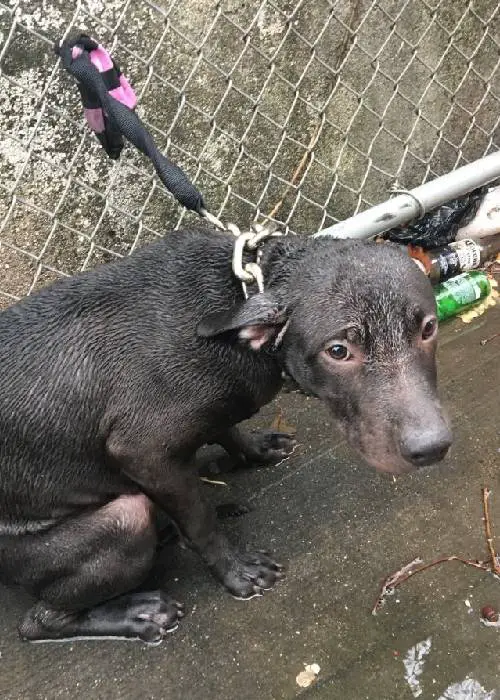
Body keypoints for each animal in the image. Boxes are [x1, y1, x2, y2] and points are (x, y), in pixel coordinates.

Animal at [0, 227, 452, 644]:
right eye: (338, 350)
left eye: (428, 329)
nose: (432, 448)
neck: (243, 296)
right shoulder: (143, 451)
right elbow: (202, 521)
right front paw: (237, 572)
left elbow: (226, 428)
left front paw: (254, 449)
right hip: (123, 520)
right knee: (38, 623)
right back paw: (136, 614)